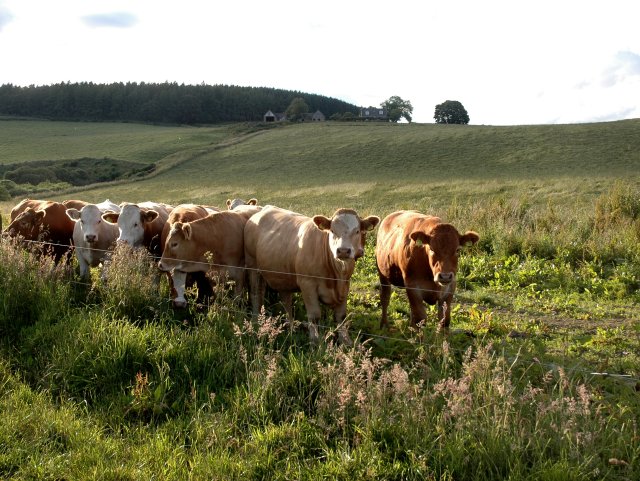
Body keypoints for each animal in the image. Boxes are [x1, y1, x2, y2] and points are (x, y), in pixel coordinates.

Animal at [242, 204, 378, 344]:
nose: (343, 251)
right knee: (256, 294)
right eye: (332, 231)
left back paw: (290, 328)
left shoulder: (345, 285)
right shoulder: (307, 284)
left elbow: (341, 316)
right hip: (252, 265)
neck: (335, 276)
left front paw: (346, 341)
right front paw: (315, 340)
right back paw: (255, 322)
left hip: (282, 275)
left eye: (357, 231)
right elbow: (314, 315)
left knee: (286, 301)